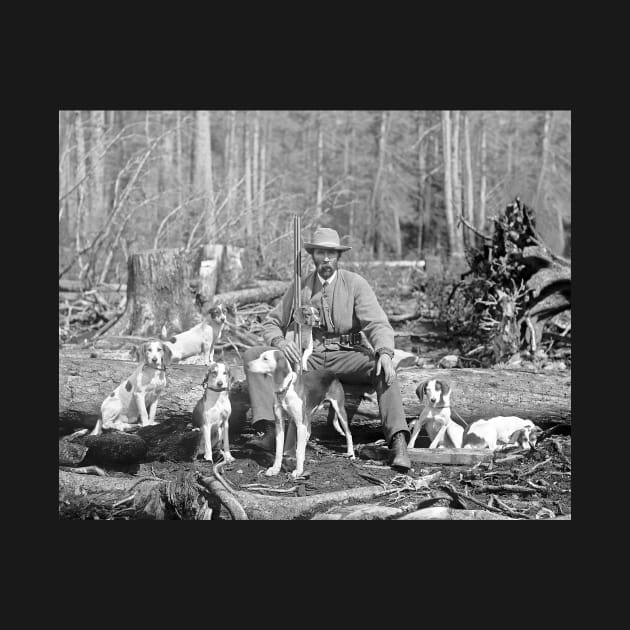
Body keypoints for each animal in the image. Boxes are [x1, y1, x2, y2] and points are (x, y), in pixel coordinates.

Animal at [247, 350, 356, 478]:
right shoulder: (280, 423)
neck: (285, 389)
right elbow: (279, 450)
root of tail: (331, 372)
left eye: (265, 359)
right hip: (307, 417)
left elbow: (298, 451)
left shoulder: (300, 423)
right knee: (308, 434)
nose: (248, 365)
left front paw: (298, 471)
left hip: (339, 409)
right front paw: (275, 469)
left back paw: (351, 454)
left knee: (348, 433)